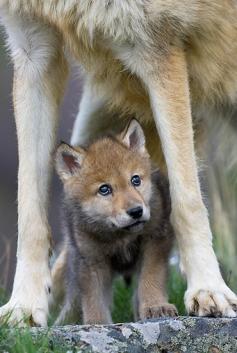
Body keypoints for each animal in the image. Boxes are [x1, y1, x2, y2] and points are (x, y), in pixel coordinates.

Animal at [0, 0, 237, 324]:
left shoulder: (155, 47)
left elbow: (187, 200)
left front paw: (207, 289)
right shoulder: (32, 48)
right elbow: (30, 215)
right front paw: (24, 307)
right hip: (99, 114)